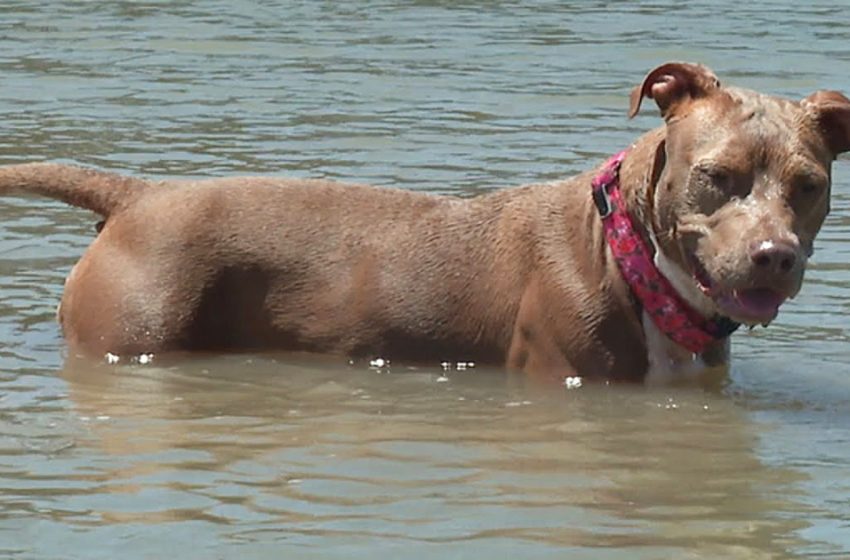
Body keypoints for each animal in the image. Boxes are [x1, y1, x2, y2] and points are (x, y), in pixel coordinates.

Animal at [0, 63, 844, 382]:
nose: (774, 255)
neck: (630, 255)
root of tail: (138, 195)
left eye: (809, 186)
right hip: (132, 332)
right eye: (716, 177)